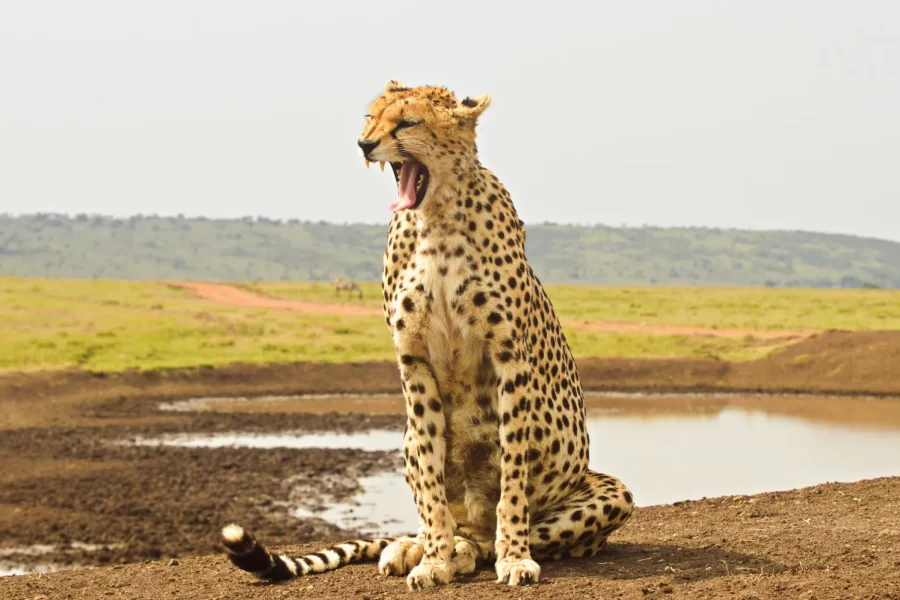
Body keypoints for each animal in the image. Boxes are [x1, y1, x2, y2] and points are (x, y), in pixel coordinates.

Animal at [219, 81, 634, 591]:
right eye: (371, 118)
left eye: (407, 122)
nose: (364, 144)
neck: (434, 219)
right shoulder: (412, 359)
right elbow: (432, 482)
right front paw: (433, 559)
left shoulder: (509, 357)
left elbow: (513, 480)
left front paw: (513, 557)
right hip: (405, 440)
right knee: (443, 514)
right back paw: (416, 546)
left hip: (613, 493)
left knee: (491, 535)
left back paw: (471, 549)